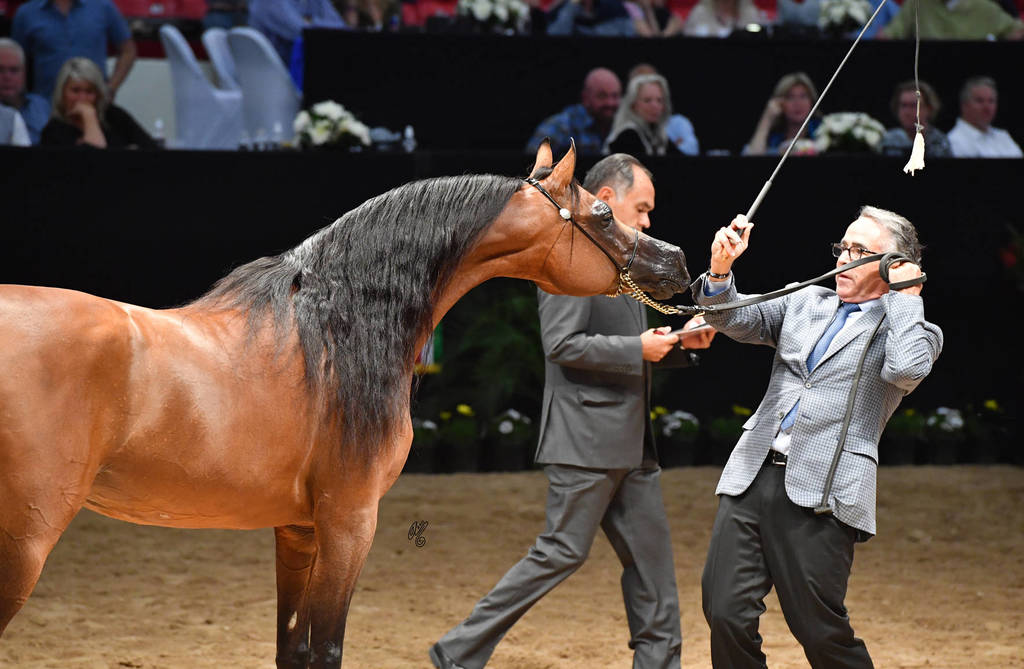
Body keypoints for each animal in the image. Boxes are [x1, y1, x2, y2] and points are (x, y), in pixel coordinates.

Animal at [0, 142, 689, 668]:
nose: (678, 260)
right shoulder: (349, 523)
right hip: (24, 543)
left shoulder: (298, 529)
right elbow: (326, 648)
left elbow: (293, 649)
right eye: (603, 214)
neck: (335, 329)